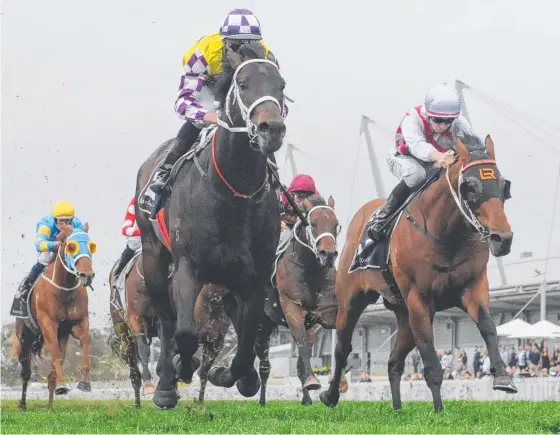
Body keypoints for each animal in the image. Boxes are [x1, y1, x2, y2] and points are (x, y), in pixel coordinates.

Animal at [7, 223, 96, 410]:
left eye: (91, 245)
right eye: (71, 247)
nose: (87, 275)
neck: (64, 288)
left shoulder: (77, 323)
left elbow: (85, 340)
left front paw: (85, 382)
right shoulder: (48, 324)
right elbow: (54, 354)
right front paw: (63, 385)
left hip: (62, 336)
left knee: (53, 370)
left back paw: (50, 406)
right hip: (25, 336)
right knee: (26, 372)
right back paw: (23, 405)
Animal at [135, 39, 284, 410]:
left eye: (282, 86)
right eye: (243, 84)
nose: (272, 130)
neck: (233, 190)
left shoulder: (256, 276)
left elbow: (245, 344)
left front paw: (232, 374)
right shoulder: (188, 266)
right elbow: (186, 333)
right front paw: (181, 368)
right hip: (154, 256)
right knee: (167, 320)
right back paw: (166, 384)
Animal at [320, 136, 516, 412]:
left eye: (502, 184)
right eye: (471, 186)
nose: (502, 239)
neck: (445, 235)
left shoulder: (472, 288)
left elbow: (488, 326)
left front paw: (503, 378)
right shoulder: (418, 300)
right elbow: (429, 354)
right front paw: (439, 410)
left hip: (403, 314)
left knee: (393, 362)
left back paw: (397, 409)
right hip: (351, 301)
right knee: (342, 348)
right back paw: (330, 395)